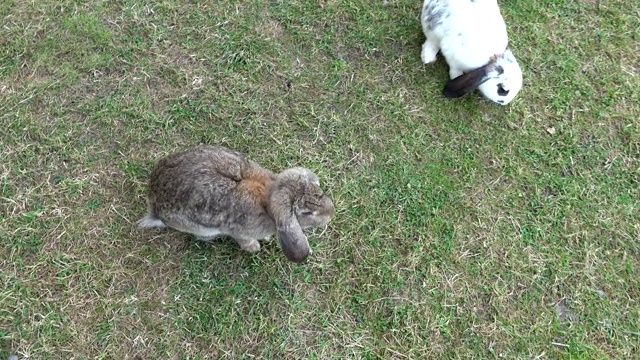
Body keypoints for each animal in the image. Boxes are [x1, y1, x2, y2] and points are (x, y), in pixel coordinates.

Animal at [138, 146, 338, 262]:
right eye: (307, 213)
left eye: (319, 192)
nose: (331, 214)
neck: (266, 202)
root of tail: (154, 208)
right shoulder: (238, 231)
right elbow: (244, 239)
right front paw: (255, 247)